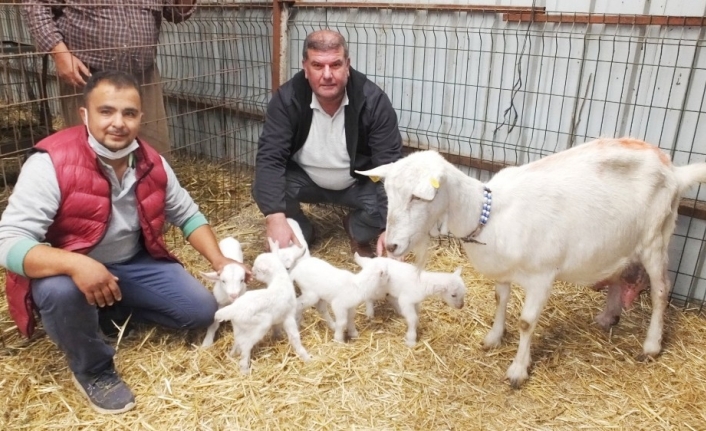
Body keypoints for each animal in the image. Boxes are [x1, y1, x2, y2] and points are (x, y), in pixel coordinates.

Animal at [358, 138, 706, 388]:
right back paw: (608, 317)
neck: (488, 213)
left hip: (656, 238)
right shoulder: (503, 272)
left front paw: (517, 370)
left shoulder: (542, 276)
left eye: (419, 197)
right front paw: (494, 338)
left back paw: (651, 345)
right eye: (388, 192)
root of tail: (674, 171)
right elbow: (499, 299)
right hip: (621, 240)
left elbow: (526, 322)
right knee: (620, 275)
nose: (392, 245)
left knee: (661, 291)